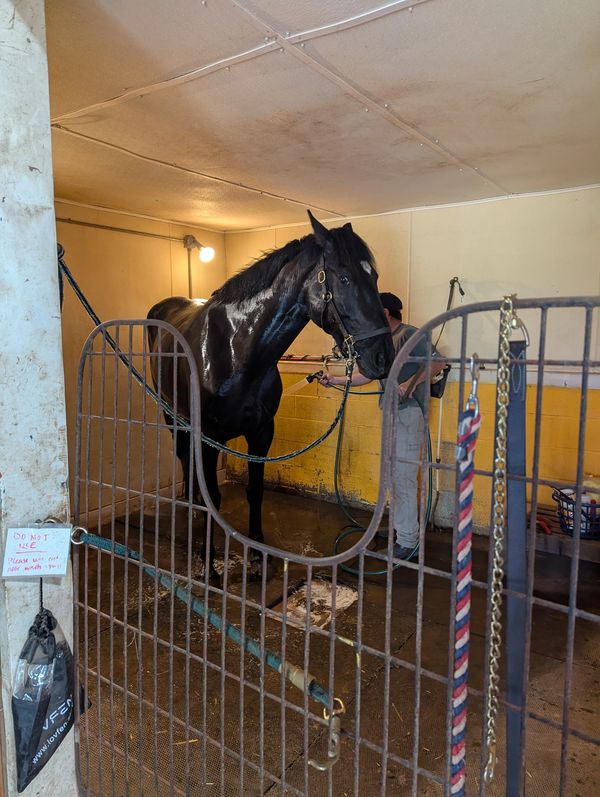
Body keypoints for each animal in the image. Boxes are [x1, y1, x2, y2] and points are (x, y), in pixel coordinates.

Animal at [147, 210, 394, 581]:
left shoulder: (261, 432)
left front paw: (257, 557)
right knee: (187, 467)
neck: (235, 349)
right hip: (173, 418)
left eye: (374, 276)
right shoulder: (207, 435)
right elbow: (212, 496)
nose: (383, 357)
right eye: (345, 278)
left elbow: (254, 491)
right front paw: (209, 564)